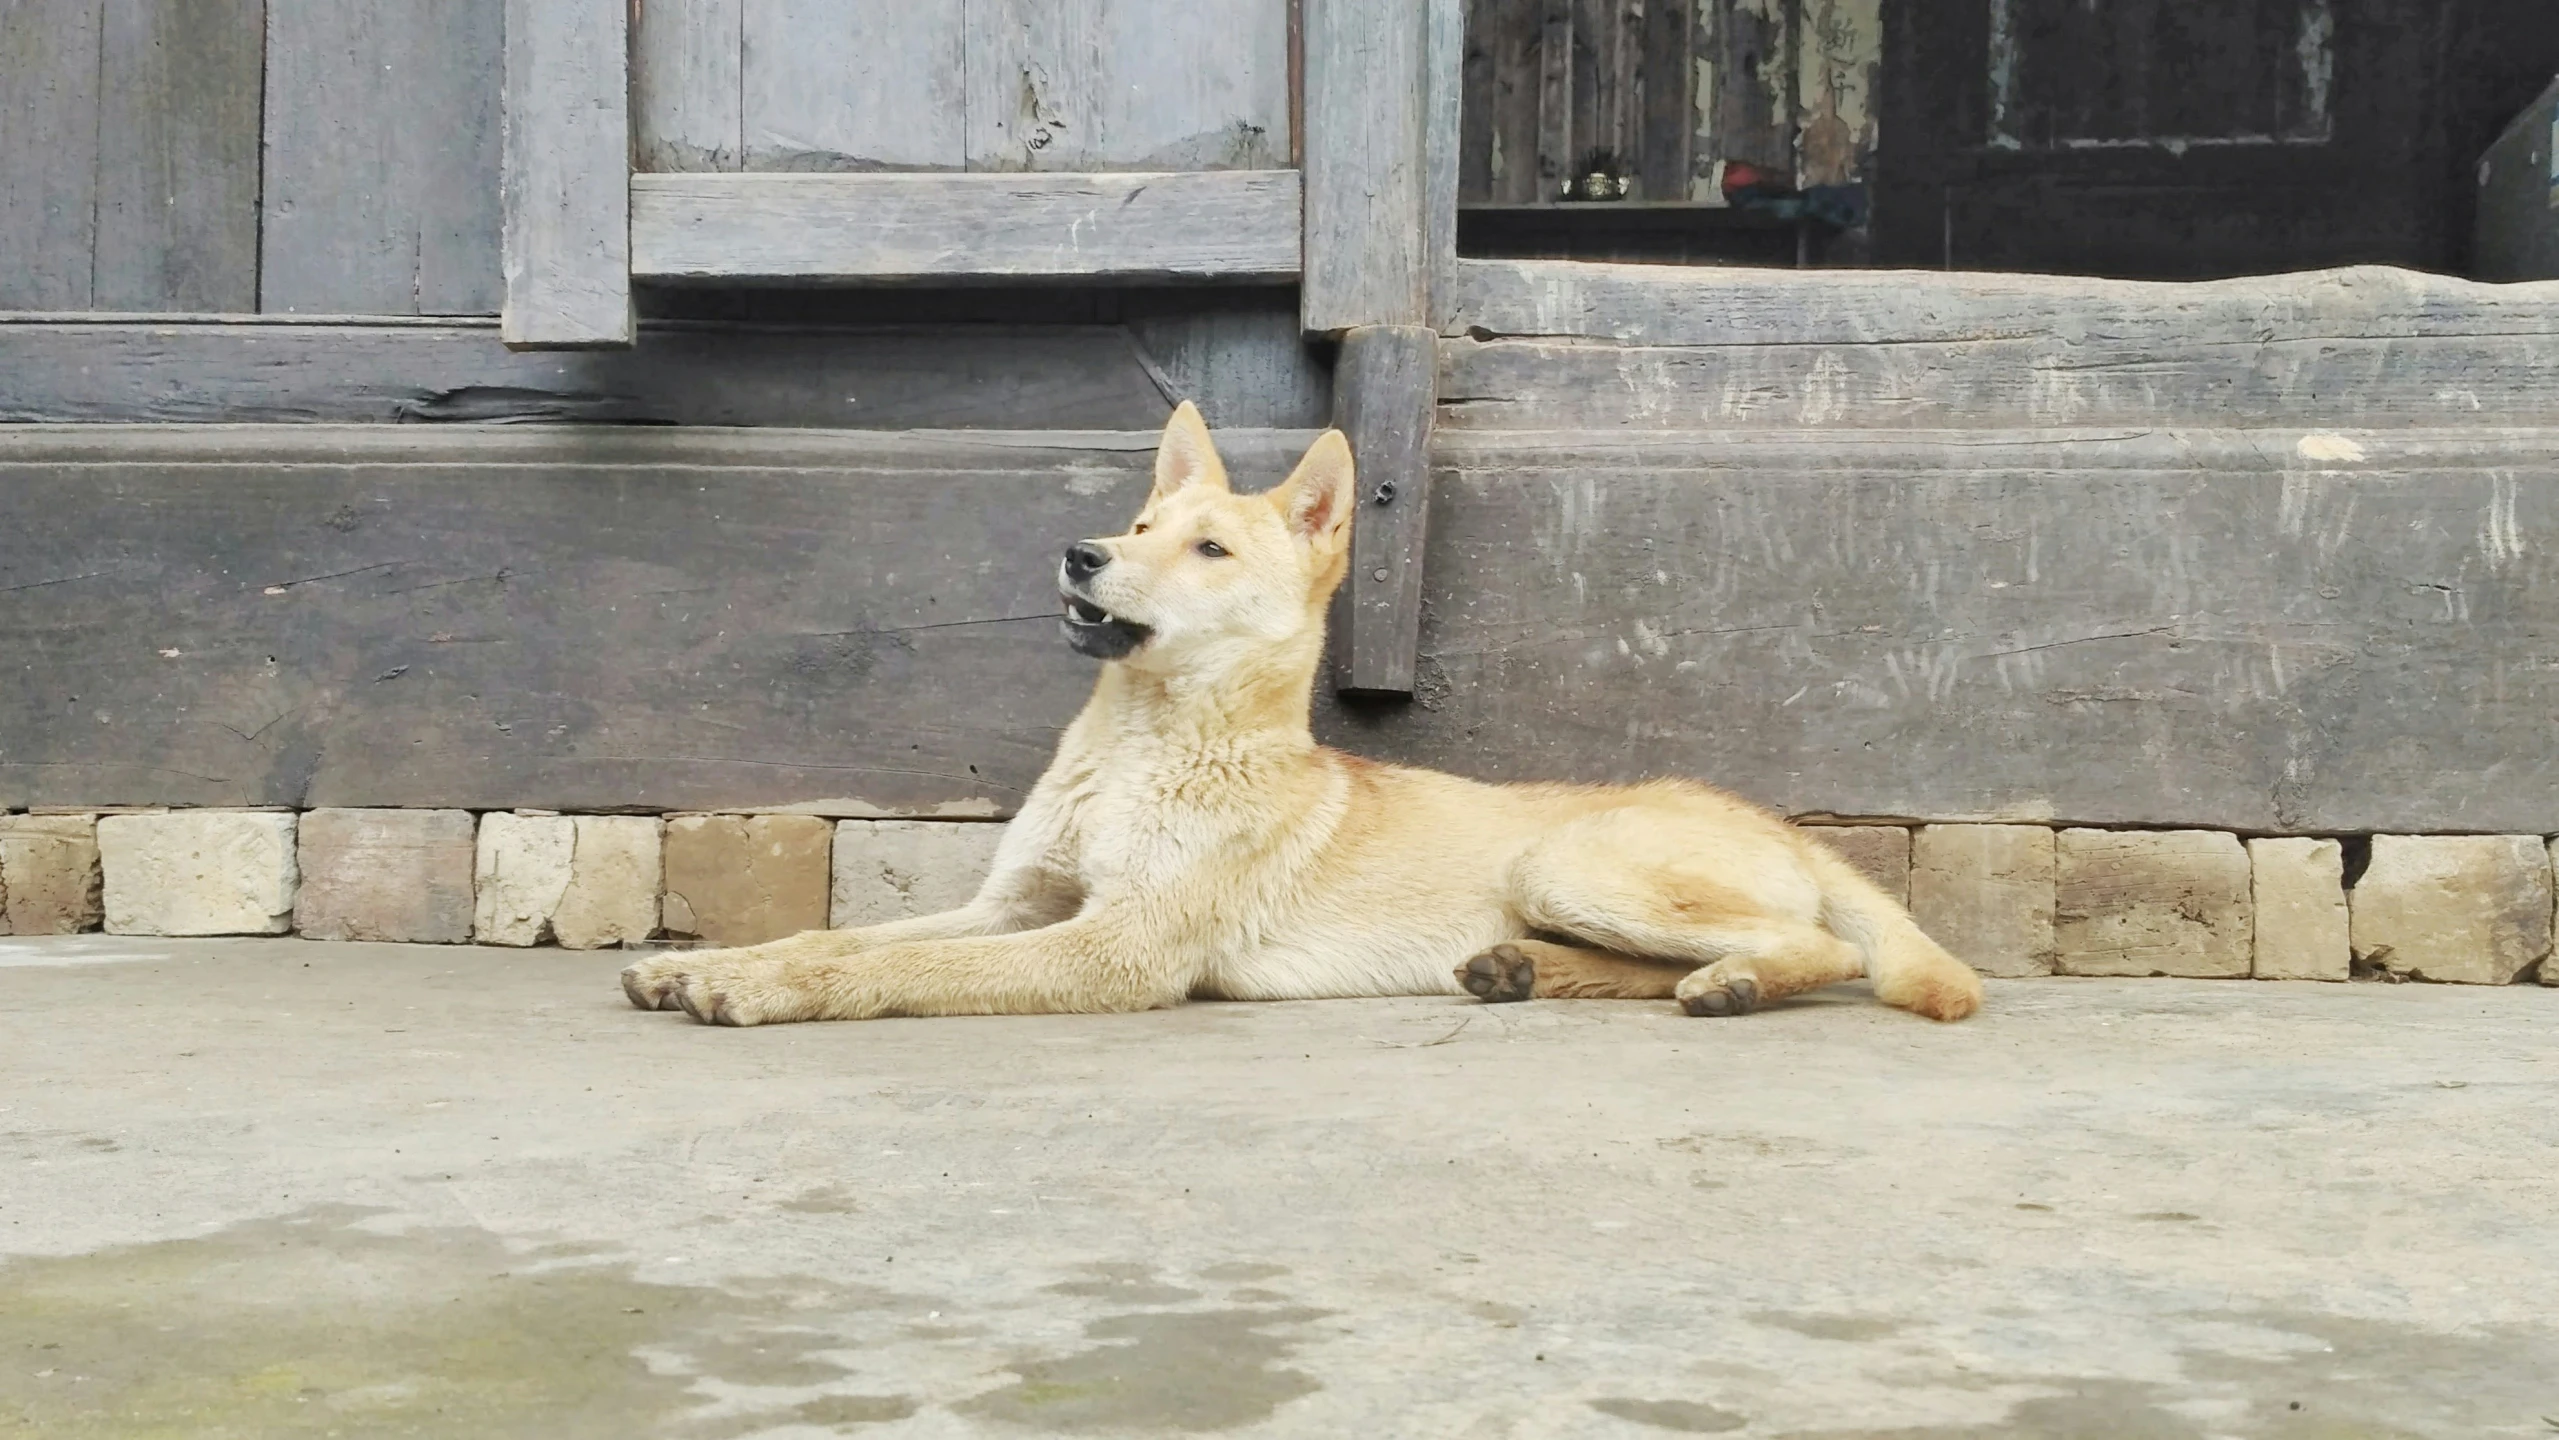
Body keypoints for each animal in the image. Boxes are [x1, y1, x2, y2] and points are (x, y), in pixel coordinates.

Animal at [614, 409, 1975, 1023]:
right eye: (1143, 522)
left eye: (1208, 548)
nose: (1081, 553)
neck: (1144, 745)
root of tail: (1773, 819)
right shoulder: (1014, 908)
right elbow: (845, 934)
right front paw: (719, 963)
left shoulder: (1117, 951)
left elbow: (892, 969)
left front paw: (771, 991)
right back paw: (1521, 970)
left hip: (1569, 862)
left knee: (1825, 949)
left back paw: (1738, 980)